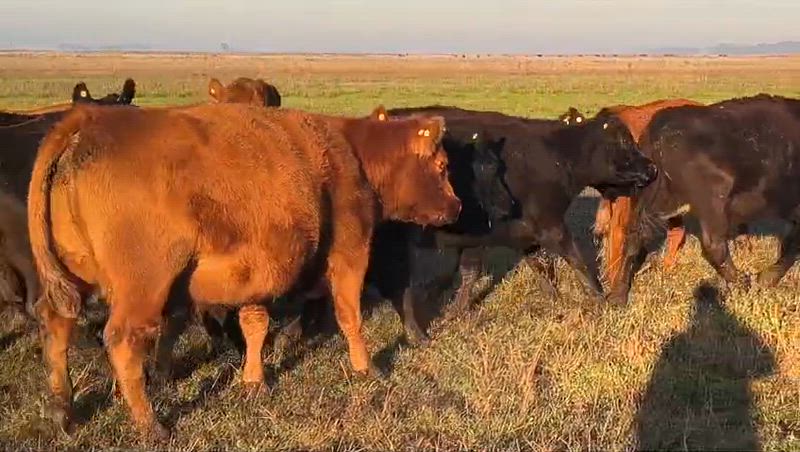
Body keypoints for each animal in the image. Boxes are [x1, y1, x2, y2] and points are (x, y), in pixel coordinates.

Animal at [28, 103, 460, 439]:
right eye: (442, 166)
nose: (456, 207)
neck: (350, 153)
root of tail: (92, 119)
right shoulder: (349, 253)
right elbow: (349, 315)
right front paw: (366, 368)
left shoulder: (257, 275)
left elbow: (255, 325)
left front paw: (254, 381)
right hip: (143, 288)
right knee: (123, 340)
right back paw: (150, 425)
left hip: (75, 277)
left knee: (56, 322)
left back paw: (63, 411)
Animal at [607, 94, 800, 304]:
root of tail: (659, 127)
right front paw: (766, 278)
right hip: (713, 201)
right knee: (713, 245)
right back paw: (742, 283)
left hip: (647, 199)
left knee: (633, 239)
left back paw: (618, 296)